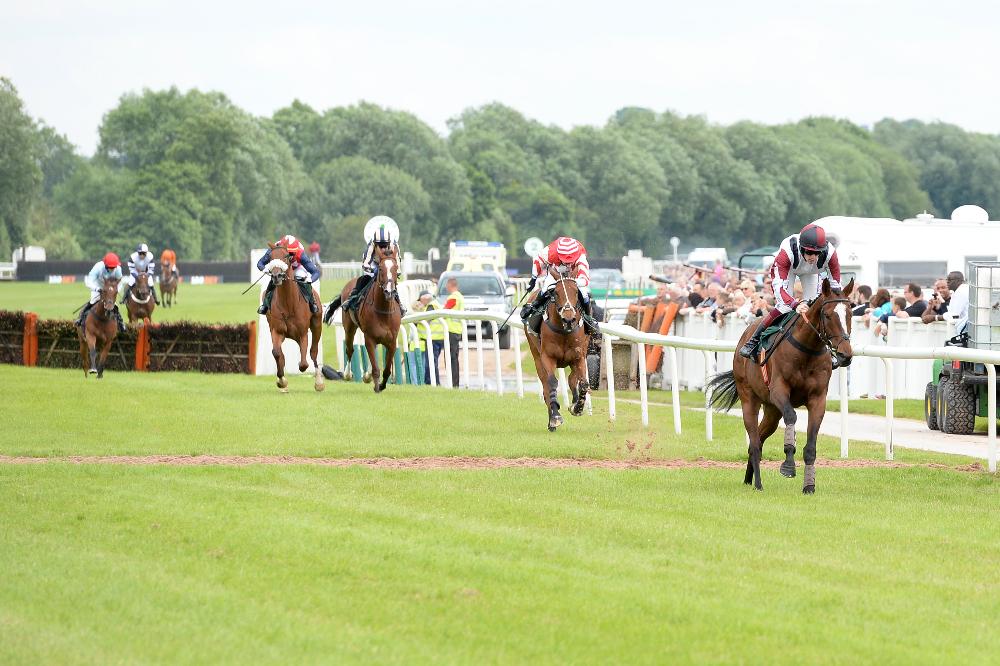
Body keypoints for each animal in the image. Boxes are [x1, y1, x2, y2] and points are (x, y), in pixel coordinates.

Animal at [261, 243, 325, 393]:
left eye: (286, 256)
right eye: (270, 257)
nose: (276, 276)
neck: (288, 304)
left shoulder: (302, 334)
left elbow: (303, 363)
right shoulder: (277, 331)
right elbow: (277, 353)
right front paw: (282, 381)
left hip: (317, 325)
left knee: (313, 352)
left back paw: (319, 382)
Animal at [324, 246, 401, 393]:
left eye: (396, 268)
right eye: (380, 269)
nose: (389, 292)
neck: (383, 311)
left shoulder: (392, 340)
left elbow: (387, 369)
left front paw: (382, 385)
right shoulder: (369, 337)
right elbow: (376, 368)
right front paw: (376, 386)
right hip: (349, 328)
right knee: (349, 349)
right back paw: (348, 374)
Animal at [525, 266, 592, 431]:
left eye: (576, 292)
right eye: (555, 292)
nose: (569, 319)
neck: (564, 331)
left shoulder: (579, 357)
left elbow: (583, 383)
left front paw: (577, 407)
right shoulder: (547, 357)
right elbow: (551, 383)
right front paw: (555, 417)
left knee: (572, 378)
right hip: (536, 355)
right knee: (545, 385)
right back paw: (551, 421)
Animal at [707, 278, 855, 494]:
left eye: (850, 313)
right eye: (828, 315)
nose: (845, 355)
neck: (807, 351)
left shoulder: (818, 399)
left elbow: (811, 447)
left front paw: (809, 486)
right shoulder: (779, 392)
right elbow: (792, 417)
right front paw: (788, 466)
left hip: (772, 411)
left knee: (759, 440)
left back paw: (749, 479)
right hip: (749, 399)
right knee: (754, 442)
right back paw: (758, 484)